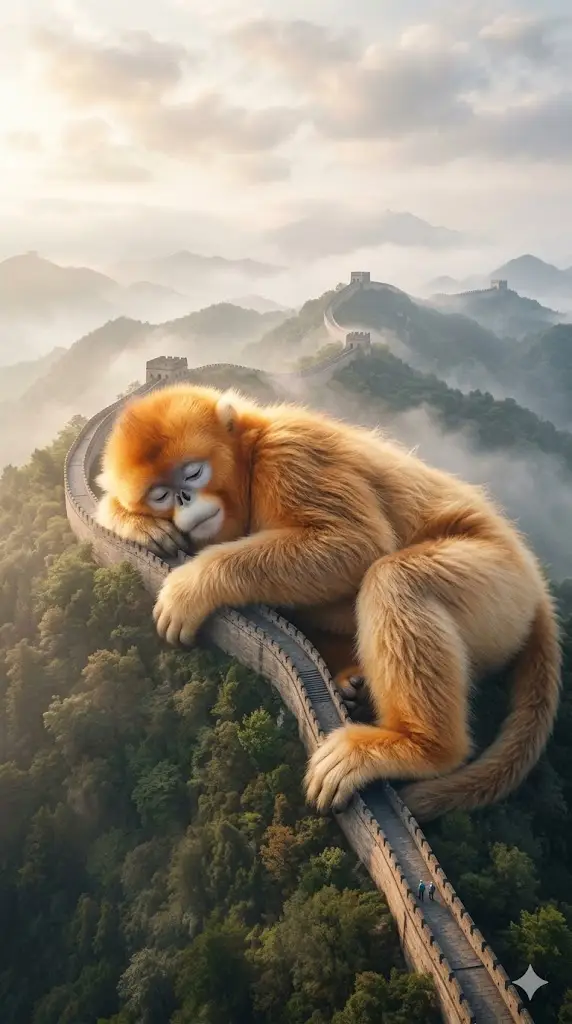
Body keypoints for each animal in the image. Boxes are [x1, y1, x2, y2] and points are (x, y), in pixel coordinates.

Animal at [95, 382, 561, 822]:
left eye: (192, 473)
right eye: (159, 495)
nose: (184, 500)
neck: (251, 463)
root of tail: (535, 587)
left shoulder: (290, 455)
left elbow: (355, 543)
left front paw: (193, 584)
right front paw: (135, 524)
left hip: (500, 588)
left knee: (394, 578)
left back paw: (418, 747)